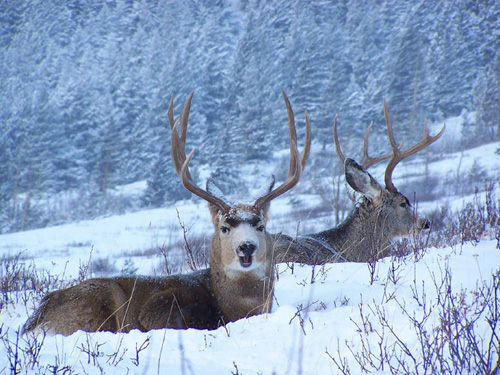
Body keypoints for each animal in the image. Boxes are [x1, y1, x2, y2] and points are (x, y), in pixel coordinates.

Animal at [24, 90, 312, 334]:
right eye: (224, 227)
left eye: (260, 225)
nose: (247, 246)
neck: (228, 306)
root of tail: (35, 321)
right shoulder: (159, 308)